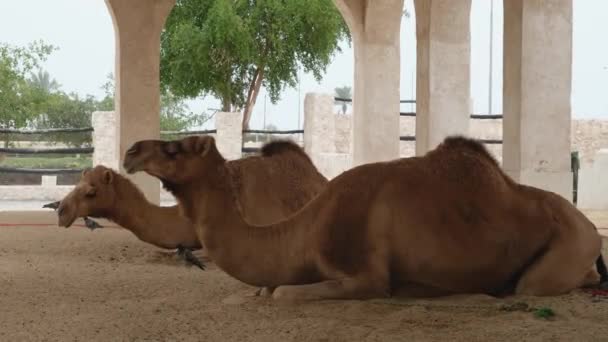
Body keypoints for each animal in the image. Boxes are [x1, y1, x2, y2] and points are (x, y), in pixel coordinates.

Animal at [123, 135, 608, 300]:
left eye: (175, 148)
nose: (130, 151)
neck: (306, 229)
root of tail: (590, 226)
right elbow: (270, 287)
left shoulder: (364, 274)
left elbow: (282, 294)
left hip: (569, 245)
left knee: (535, 284)